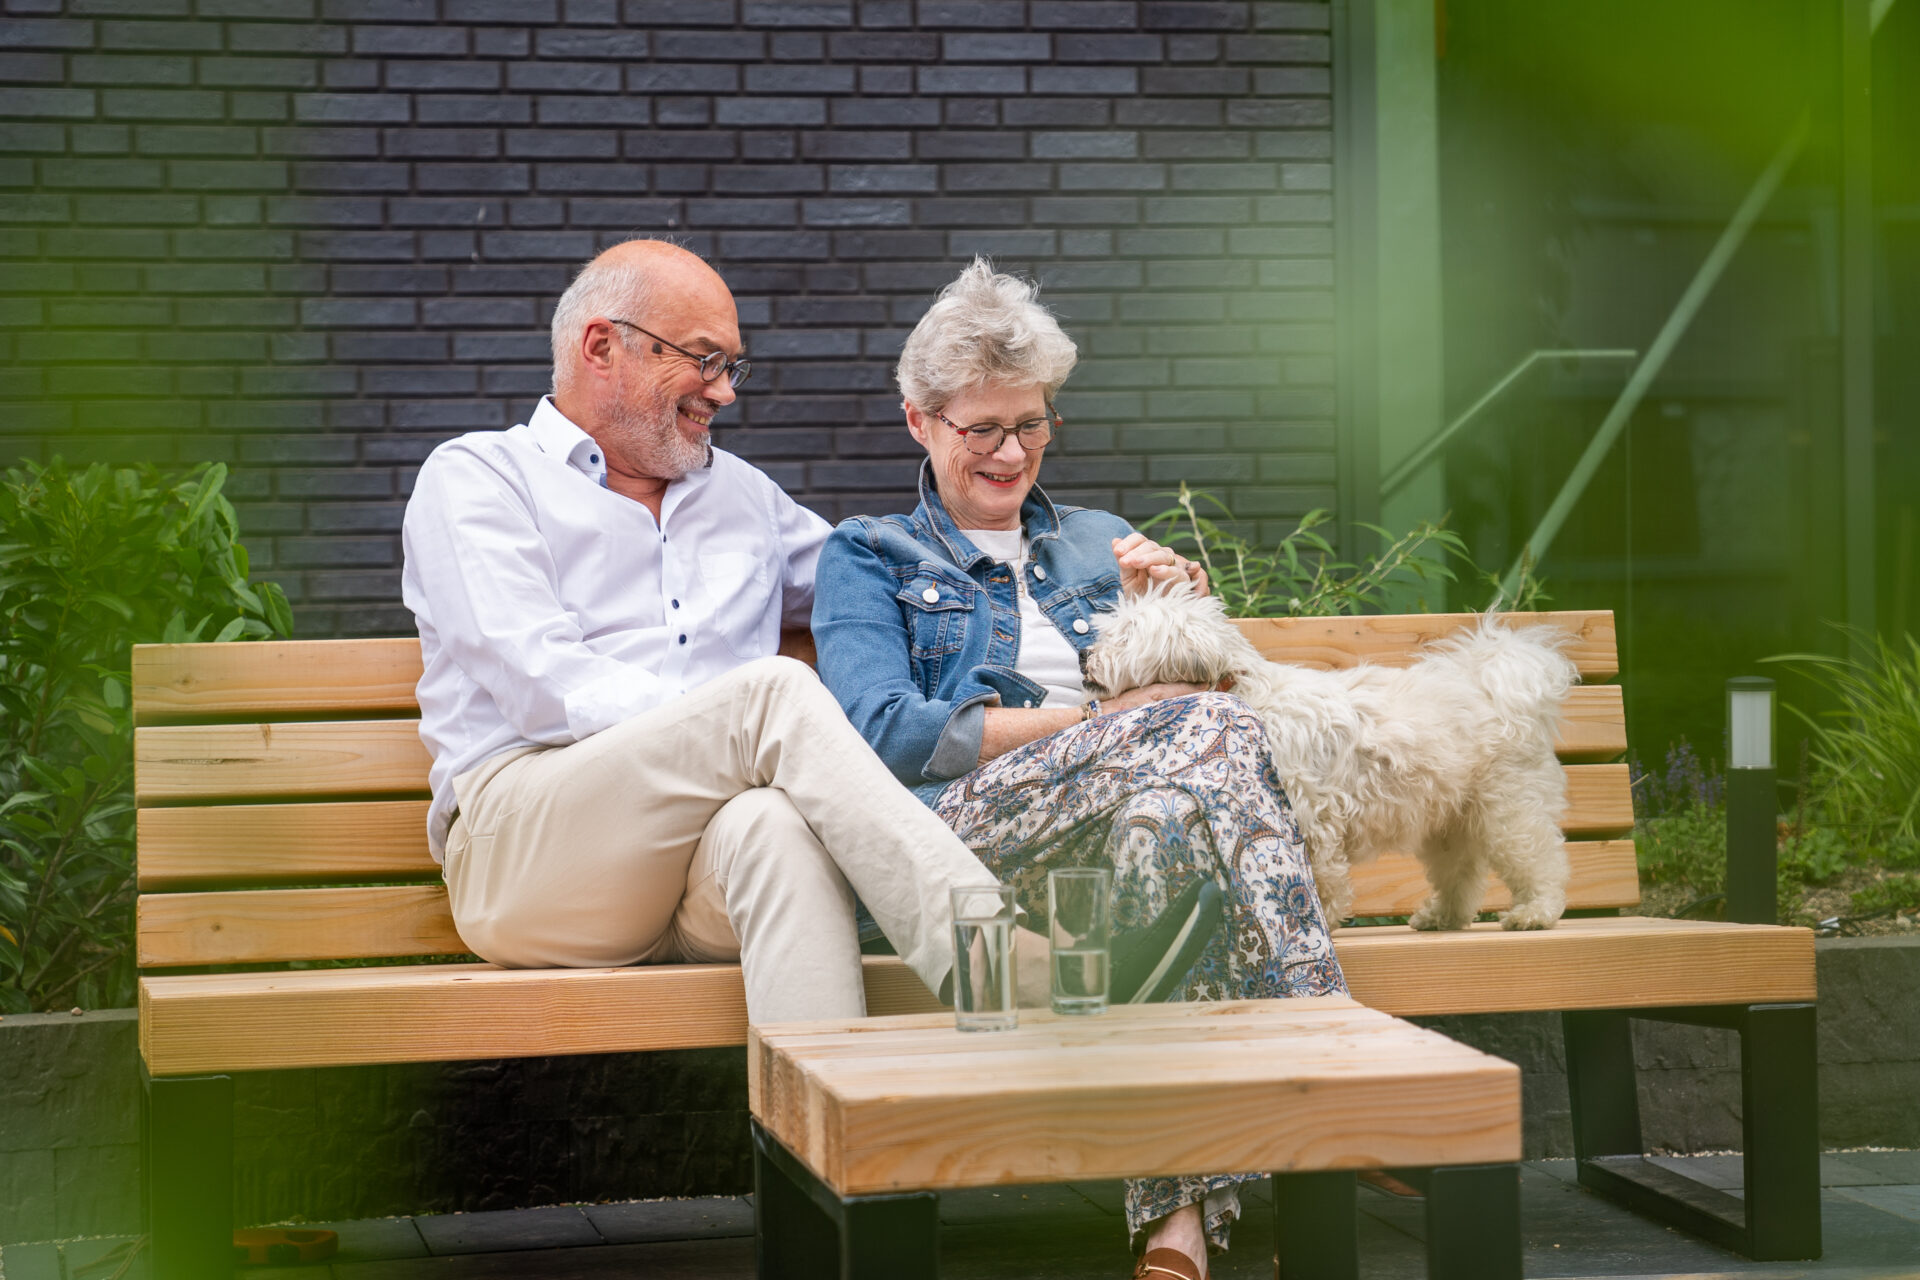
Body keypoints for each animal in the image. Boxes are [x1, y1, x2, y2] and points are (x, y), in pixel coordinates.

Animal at [1082, 587, 1574, 932]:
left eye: (1124, 637)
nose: (1085, 654)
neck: (1246, 697)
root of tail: (1494, 682)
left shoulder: (1310, 817)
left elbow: (1323, 878)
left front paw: (1324, 919)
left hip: (1508, 810)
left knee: (1541, 860)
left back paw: (1535, 913)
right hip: (1451, 820)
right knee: (1462, 875)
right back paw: (1443, 917)